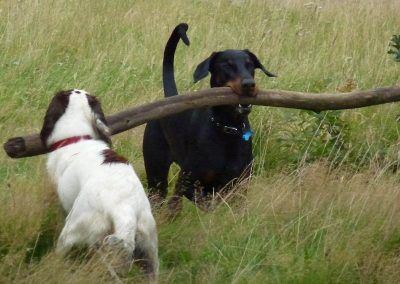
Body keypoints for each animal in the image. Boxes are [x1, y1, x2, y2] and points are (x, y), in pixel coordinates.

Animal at [142, 23, 276, 212]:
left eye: (250, 65)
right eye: (227, 65)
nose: (249, 84)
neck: (228, 129)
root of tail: (170, 98)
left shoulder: (240, 185)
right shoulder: (190, 182)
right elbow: (207, 203)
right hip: (156, 173)